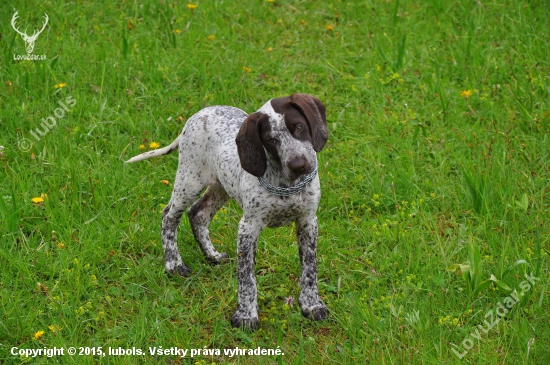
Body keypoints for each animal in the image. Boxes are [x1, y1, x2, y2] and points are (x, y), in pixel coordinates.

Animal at [127, 92, 330, 328]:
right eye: (271, 140)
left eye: (298, 127)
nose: (298, 165)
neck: (287, 185)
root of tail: (198, 114)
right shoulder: (248, 228)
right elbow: (246, 277)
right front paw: (245, 315)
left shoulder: (308, 221)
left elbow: (309, 269)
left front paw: (312, 305)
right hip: (189, 180)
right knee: (169, 216)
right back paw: (174, 264)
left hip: (220, 187)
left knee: (198, 214)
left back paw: (212, 255)